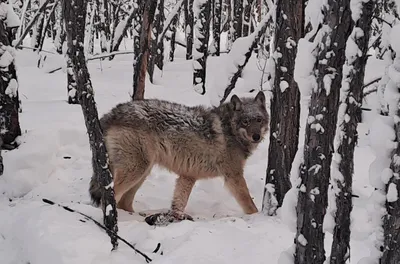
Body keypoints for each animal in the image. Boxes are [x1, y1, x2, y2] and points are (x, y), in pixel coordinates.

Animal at [89, 91, 270, 221]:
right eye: (246, 121)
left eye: (259, 120)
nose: (256, 136)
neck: (230, 130)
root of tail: (111, 114)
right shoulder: (234, 176)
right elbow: (249, 203)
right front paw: (258, 218)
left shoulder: (188, 176)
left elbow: (178, 204)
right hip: (136, 170)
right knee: (109, 199)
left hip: (142, 172)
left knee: (123, 202)